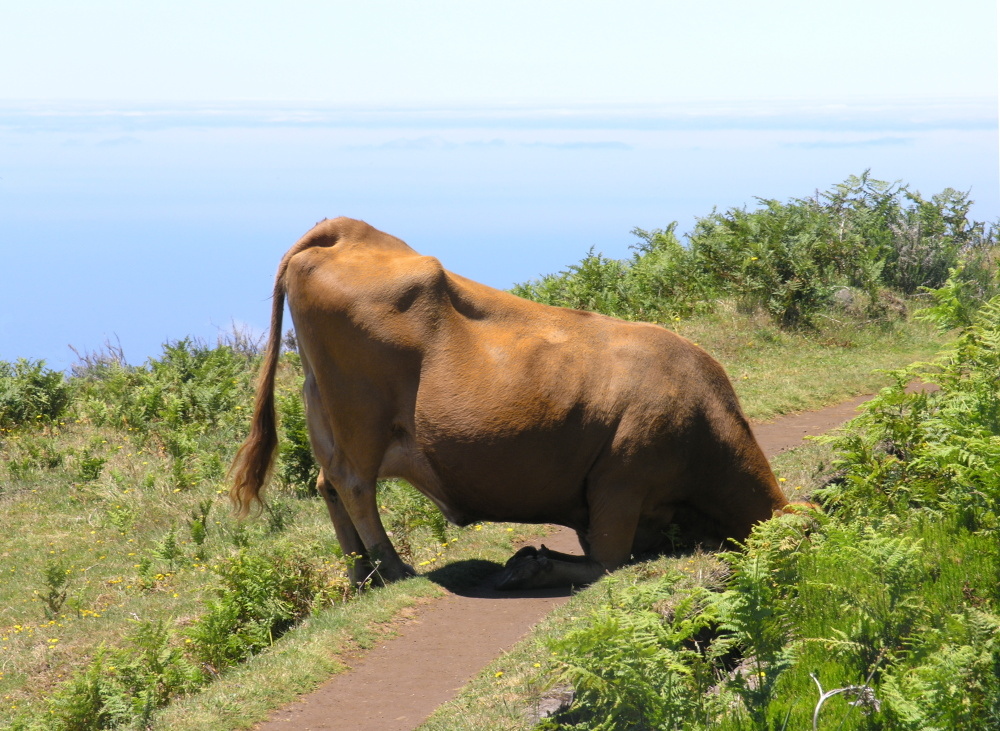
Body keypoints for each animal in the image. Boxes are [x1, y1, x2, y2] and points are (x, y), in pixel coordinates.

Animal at [232, 217, 788, 588]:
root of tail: (344, 229)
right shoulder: (621, 481)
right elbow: (608, 560)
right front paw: (529, 564)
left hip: (321, 408)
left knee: (328, 483)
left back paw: (361, 575)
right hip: (360, 416)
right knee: (353, 485)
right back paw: (393, 567)